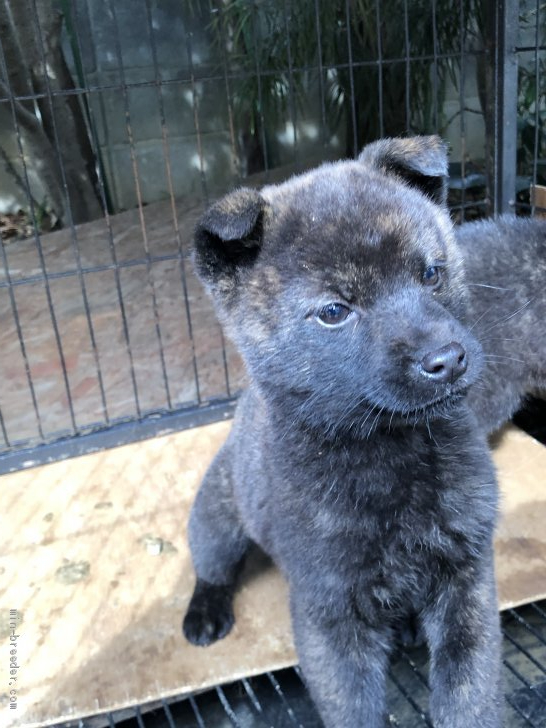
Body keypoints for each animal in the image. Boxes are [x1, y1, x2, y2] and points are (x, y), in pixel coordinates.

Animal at [183, 138, 502, 728]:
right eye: (334, 311)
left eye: (432, 273)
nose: (446, 360)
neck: (391, 454)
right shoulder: (330, 613)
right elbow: (353, 708)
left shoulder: (467, 579)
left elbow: (470, 694)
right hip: (215, 517)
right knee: (211, 566)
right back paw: (204, 612)